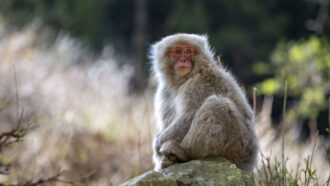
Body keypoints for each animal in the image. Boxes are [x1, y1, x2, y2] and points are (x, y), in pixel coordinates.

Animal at [150, 33, 258, 173]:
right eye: (177, 51)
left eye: (188, 51)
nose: (183, 60)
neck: (184, 80)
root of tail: (248, 166)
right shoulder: (164, 91)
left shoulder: (200, 82)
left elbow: (190, 115)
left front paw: (158, 143)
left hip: (239, 146)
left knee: (215, 104)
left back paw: (183, 152)